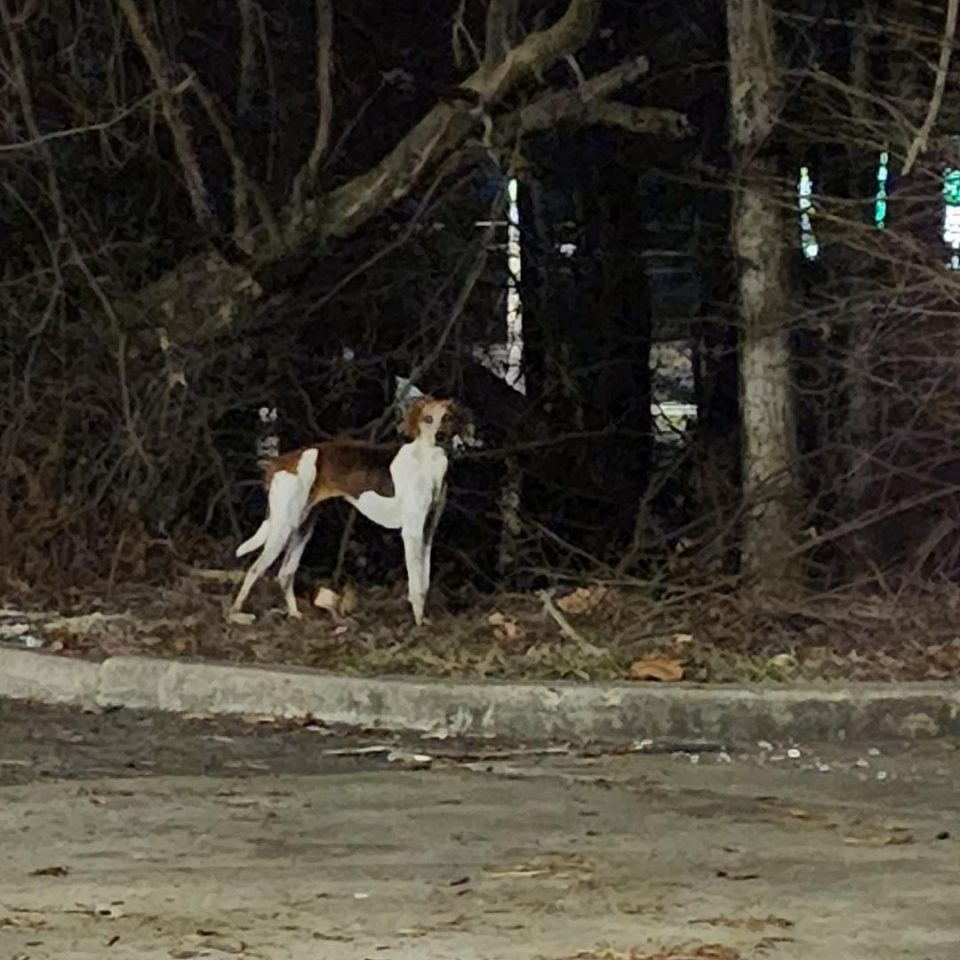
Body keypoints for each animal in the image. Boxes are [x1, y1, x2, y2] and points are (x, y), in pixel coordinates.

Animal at [230, 394, 476, 628]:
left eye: (448, 417)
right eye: (428, 418)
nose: (440, 437)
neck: (428, 463)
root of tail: (277, 463)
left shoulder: (427, 534)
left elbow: (424, 584)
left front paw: (423, 621)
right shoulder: (412, 533)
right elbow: (416, 587)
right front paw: (417, 624)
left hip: (302, 528)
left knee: (285, 574)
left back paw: (295, 614)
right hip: (282, 528)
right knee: (254, 570)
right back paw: (236, 613)